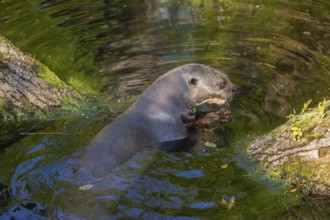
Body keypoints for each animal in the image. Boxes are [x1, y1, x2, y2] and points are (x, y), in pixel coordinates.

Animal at [79, 62, 236, 176]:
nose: (234, 88)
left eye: (227, 76)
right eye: (222, 84)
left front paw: (218, 114)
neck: (162, 108)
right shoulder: (170, 133)